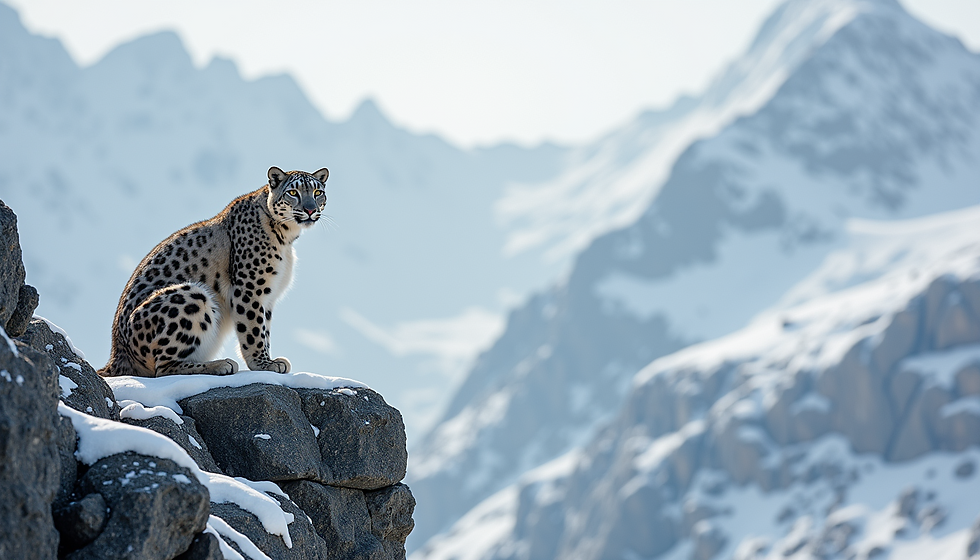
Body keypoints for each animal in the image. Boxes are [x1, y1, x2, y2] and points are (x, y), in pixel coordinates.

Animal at [99, 166, 329, 377]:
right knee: (163, 368)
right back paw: (221, 364)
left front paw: (269, 360)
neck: (287, 240)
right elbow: (253, 329)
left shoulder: (269, 295)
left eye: (318, 192)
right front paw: (263, 364)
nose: (310, 209)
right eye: (293, 192)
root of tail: (116, 353)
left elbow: (265, 330)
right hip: (191, 296)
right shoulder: (250, 288)